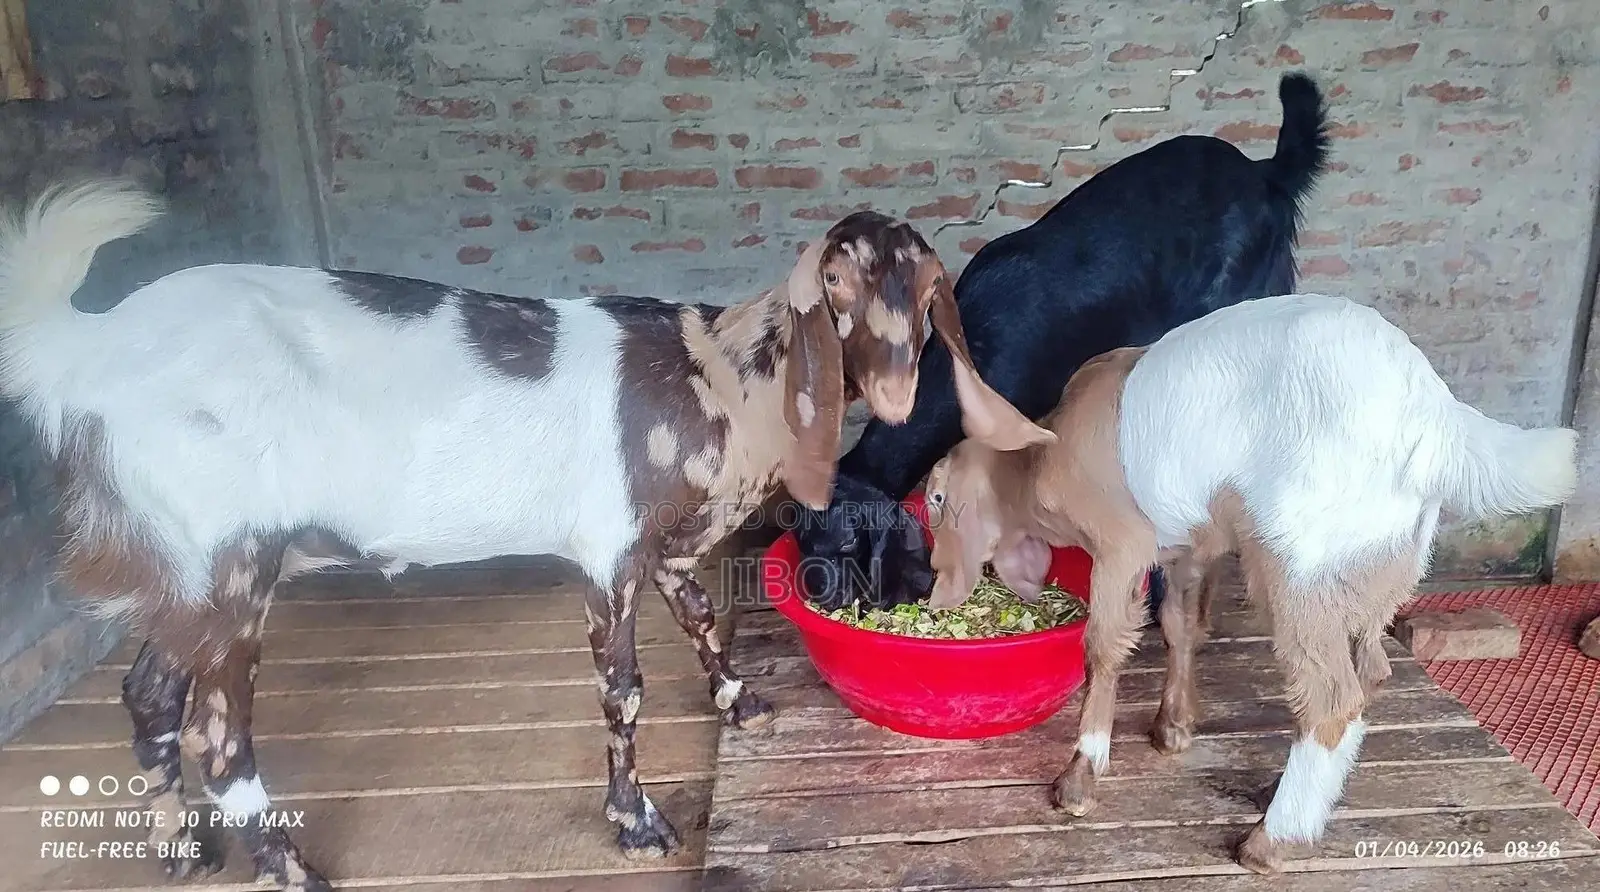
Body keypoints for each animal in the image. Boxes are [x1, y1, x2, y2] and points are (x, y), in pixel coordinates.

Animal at [0, 181, 1053, 890]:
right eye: (834, 281)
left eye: (927, 288)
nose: (898, 388)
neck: (717, 377)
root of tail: (88, 353)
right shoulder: (607, 546)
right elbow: (623, 693)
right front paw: (635, 822)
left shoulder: (666, 544)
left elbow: (699, 611)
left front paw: (742, 704)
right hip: (228, 557)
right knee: (218, 740)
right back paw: (292, 870)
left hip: (180, 567)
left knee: (147, 694)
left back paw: (181, 850)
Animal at [923, 293, 1579, 874]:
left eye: (935, 499)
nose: (935, 590)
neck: (1044, 457)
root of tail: (1436, 418)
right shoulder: (1189, 542)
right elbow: (1181, 626)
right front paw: (1174, 726)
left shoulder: (1123, 542)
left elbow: (1104, 648)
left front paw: (1080, 778)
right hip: (1384, 563)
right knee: (1370, 672)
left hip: (1303, 563)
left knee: (1331, 698)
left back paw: (1271, 842)